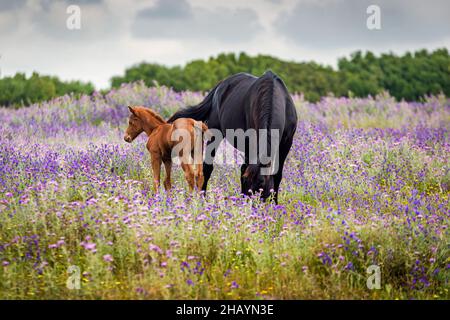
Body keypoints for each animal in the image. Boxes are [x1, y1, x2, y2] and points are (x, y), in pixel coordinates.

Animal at [167, 71, 298, 204]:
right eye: (246, 181)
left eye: (262, 184)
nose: (251, 205)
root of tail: (221, 85)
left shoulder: (286, 144)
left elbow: (277, 175)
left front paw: (275, 203)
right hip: (215, 132)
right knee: (207, 167)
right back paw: (202, 198)